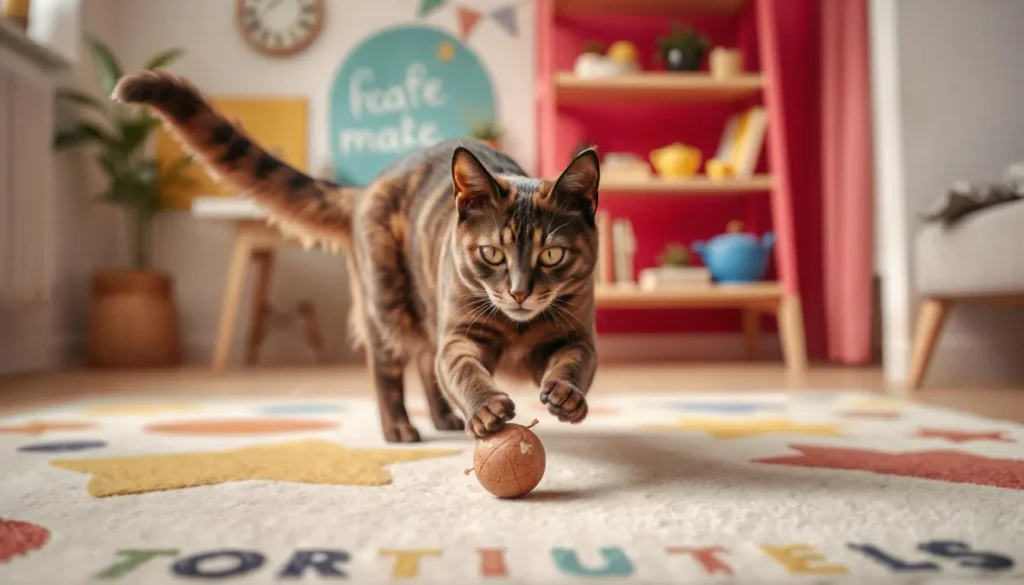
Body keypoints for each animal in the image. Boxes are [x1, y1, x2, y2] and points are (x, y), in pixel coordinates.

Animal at [112, 71, 598, 442]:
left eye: (552, 254)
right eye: (492, 253)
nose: (518, 293)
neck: (517, 328)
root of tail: (367, 188)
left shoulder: (573, 333)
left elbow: (575, 361)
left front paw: (566, 395)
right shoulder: (459, 334)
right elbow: (461, 370)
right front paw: (485, 409)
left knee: (423, 362)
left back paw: (443, 418)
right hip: (386, 304)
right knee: (389, 369)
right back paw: (400, 429)